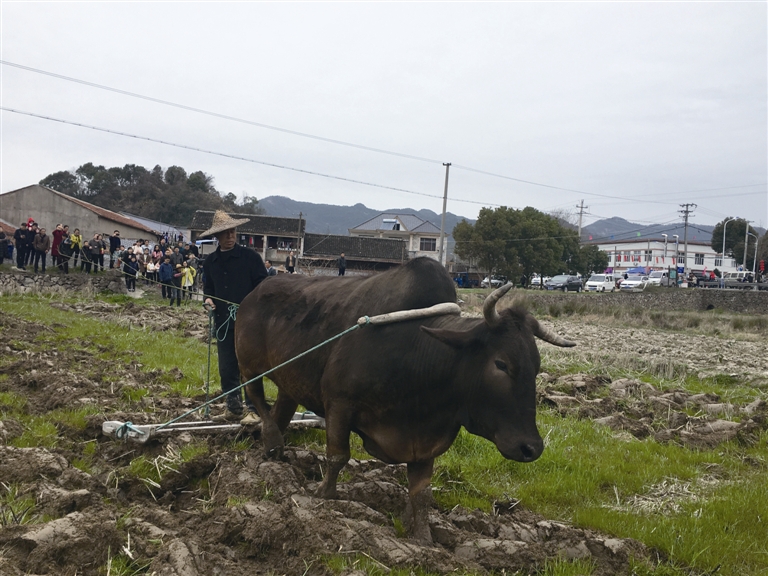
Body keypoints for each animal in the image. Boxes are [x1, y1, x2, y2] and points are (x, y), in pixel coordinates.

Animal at [237, 256, 572, 540]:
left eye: (537, 366)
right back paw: (272, 439)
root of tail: (256, 291)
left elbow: (421, 492)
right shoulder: (339, 404)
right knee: (257, 399)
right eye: (501, 364)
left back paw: (272, 450)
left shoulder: (425, 439)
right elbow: (337, 456)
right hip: (248, 365)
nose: (530, 448)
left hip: (289, 380)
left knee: (281, 409)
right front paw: (324, 496)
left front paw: (423, 536)